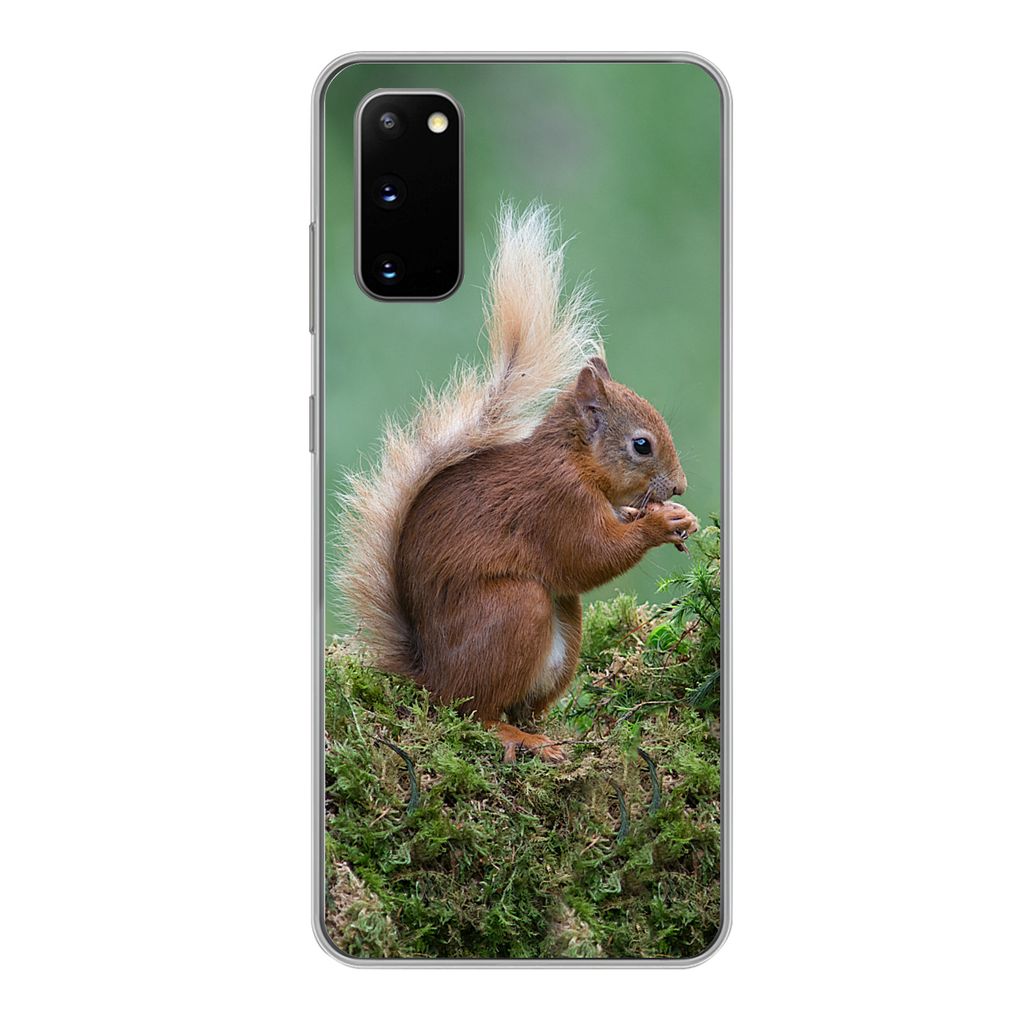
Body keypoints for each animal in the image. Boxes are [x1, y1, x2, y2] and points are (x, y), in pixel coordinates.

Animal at [338, 204, 696, 763]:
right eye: (642, 445)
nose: (678, 487)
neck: (573, 460)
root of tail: (429, 677)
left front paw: (676, 518)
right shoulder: (556, 503)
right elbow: (588, 556)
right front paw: (658, 524)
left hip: (563, 629)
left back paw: (546, 731)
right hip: (513, 609)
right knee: (474, 711)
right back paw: (516, 737)